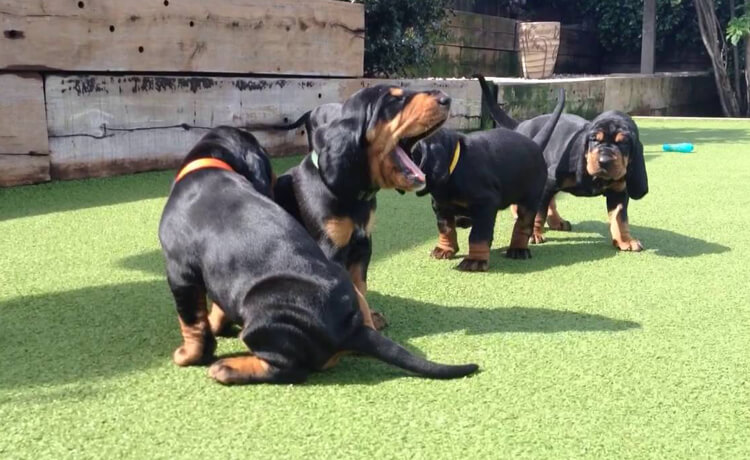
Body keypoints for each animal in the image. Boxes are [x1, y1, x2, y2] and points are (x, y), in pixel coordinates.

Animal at [159, 126, 478, 384]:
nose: (278, 180)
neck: (212, 166)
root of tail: (350, 328)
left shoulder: (180, 271)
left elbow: (192, 322)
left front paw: (188, 355)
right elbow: (217, 307)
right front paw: (216, 326)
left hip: (260, 313)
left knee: (289, 369)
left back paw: (229, 368)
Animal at [414, 88, 568, 272]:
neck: (454, 166)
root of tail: (535, 143)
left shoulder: (485, 203)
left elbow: (478, 235)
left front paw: (475, 260)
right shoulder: (441, 206)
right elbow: (445, 228)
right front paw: (444, 249)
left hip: (530, 198)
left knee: (523, 224)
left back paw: (518, 249)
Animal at [478, 73, 648, 250]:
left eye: (623, 143)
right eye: (594, 139)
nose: (604, 161)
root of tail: (521, 125)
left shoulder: (618, 192)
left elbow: (619, 219)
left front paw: (625, 240)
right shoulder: (549, 181)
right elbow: (538, 213)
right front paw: (534, 234)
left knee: (550, 202)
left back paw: (556, 222)